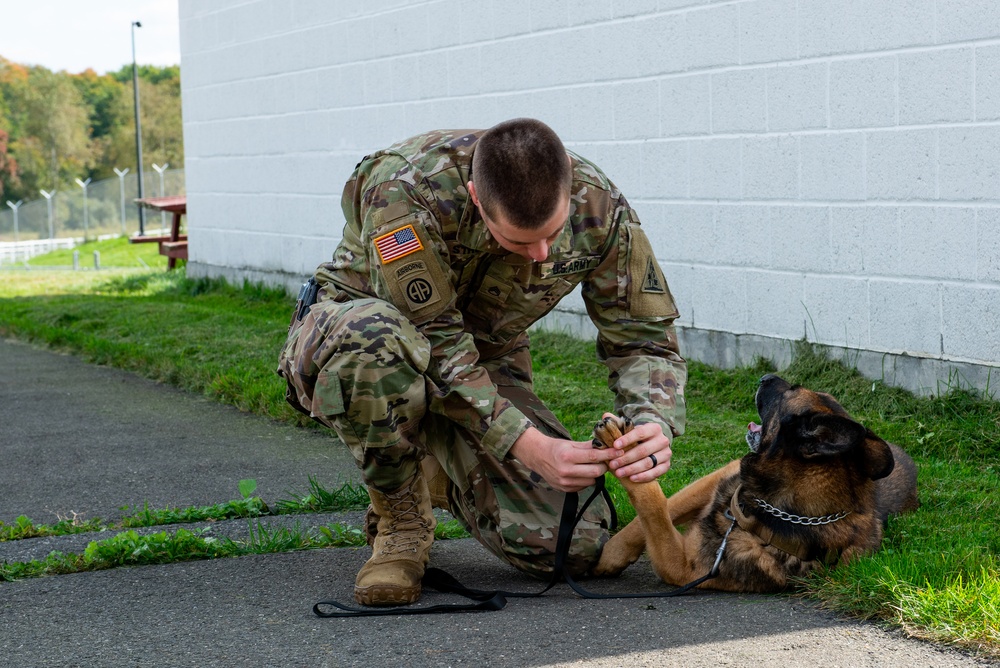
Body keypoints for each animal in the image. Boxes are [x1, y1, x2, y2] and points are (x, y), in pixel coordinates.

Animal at [588, 374, 916, 592]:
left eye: (790, 390)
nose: (765, 376)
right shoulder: (720, 477)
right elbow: (660, 509)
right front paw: (609, 555)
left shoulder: (680, 567)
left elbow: (652, 503)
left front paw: (626, 447)